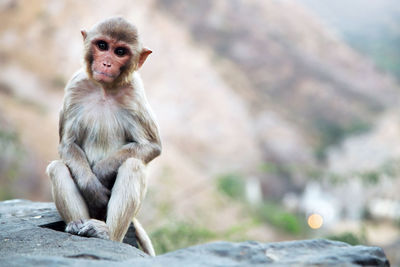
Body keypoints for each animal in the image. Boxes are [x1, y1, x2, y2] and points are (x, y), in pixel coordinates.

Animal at [45, 17, 161, 258]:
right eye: (102, 46)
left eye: (120, 52)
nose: (106, 63)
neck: (105, 89)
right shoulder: (74, 85)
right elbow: (68, 143)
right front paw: (92, 187)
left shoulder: (135, 93)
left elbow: (151, 145)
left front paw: (100, 172)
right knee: (57, 167)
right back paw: (77, 224)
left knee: (133, 165)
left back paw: (106, 234)